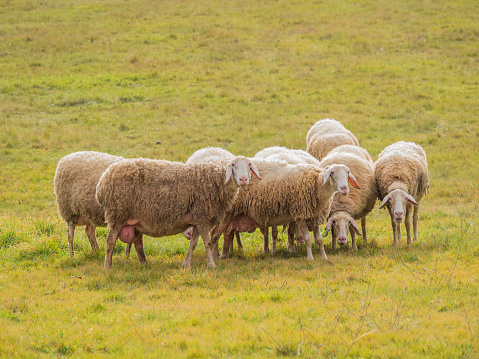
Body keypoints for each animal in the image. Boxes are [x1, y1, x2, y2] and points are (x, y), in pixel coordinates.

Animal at [96, 155, 260, 270]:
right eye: (233, 165)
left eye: (249, 165)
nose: (243, 179)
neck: (217, 181)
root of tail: (102, 182)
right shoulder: (202, 216)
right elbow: (207, 243)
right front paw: (212, 265)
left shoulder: (197, 219)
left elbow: (193, 244)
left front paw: (186, 265)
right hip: (117, 214)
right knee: (110, 241)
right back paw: (107, 267)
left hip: (132, 218)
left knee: (137, 242)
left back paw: (144, 264)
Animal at [210, 160, 360, 262]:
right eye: (332, 173)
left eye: (347, 173)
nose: (344, 188)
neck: (316, 185)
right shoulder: (300, 214)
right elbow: (308, 239)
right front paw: (310, 258)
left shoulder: (314, 217)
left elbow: (319, 240)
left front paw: (324, 257)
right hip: (227, 214)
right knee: (214, 234)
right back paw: (214, 257)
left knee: (224, 233)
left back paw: (222, 256)